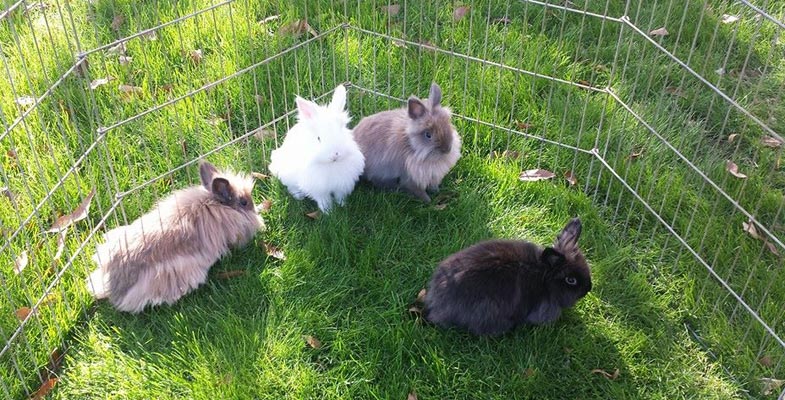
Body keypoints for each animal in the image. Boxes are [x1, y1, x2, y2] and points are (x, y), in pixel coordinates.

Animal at [268, 84, 365, 213]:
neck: (331, 165)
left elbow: (339, 196)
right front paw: (328, 212)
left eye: (342, 131)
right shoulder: (318, 188)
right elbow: (323, 200)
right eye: (319, 138)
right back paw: (299, 196)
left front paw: (342, 205)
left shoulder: (341, 185)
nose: (335, 154)